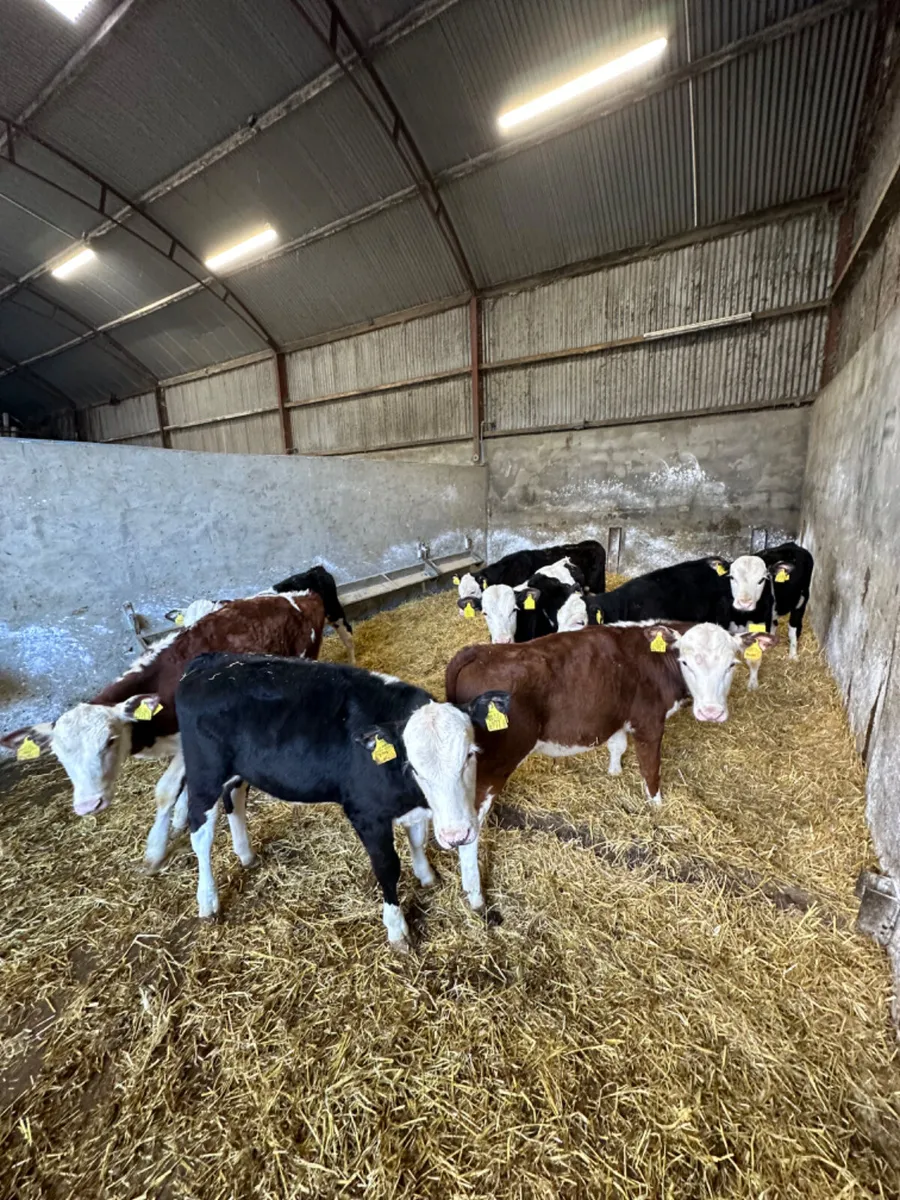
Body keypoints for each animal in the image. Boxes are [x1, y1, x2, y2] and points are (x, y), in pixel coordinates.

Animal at [1, 593, 325, 872]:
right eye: (60, 755)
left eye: (110, 740)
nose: (87, 805)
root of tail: (287, 597)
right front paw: (178, 820)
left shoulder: (187, 745)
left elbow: (165, 791)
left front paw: (155, 851)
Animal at [174, 652, 511, 948]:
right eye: (414, 767)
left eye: (470, 755)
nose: (458, 836)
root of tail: (209, 662)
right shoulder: (365, 814)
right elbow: (387, 867)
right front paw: (397, 930)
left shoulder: (411, 808)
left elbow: (416, 838)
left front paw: (426, 876)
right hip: (205, 773)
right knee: (200, 832)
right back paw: (208, 902)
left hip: (238, 770)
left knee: (235, 799)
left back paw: (245, 854)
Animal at [446, 622, 775, 811]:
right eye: (685, 662)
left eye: (732, 664)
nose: (711, 712)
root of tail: (481, 651)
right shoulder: (649, 723)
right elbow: (651, 768)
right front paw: (656, 804)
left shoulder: (617, 714)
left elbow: (617, 745)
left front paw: (614, 771)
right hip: (493, 765)